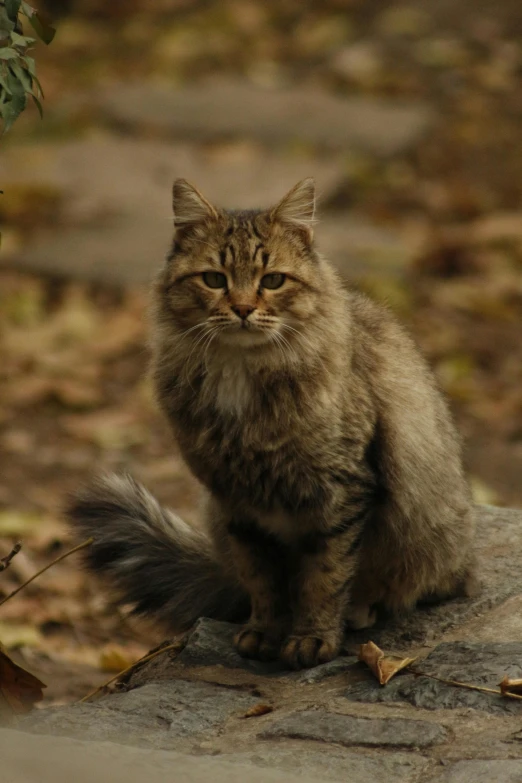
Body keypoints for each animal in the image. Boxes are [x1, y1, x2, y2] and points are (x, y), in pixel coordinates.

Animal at [68, 181, 476, 672]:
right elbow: (262, 580)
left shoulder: (340, 491)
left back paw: (365, 610)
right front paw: (265, 633)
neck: (241, 377)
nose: (243, 309)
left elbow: (324, 577)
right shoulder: (236, 500)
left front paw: (312, 639)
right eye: (215, 280)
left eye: (273, 281)